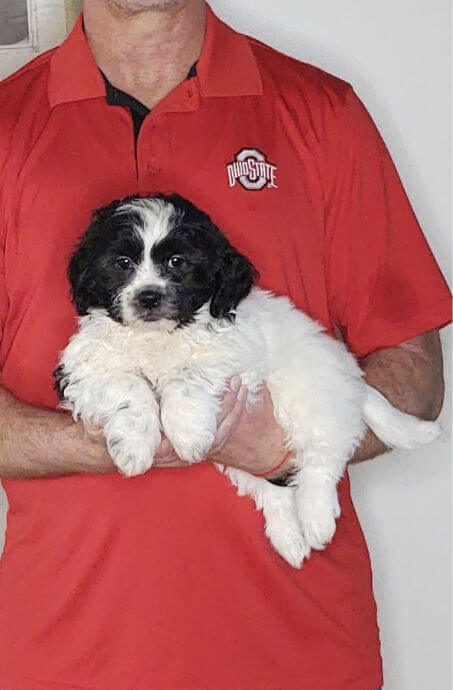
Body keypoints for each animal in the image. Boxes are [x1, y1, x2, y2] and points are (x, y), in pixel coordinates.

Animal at [54, 192, 440, 564]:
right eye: (122, 264)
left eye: (177, 262)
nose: (149, 297)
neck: (158, 336)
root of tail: (348, 371)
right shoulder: (81, 371)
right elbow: (129, 384)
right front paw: (135, 447)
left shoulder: (231, 355)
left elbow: (184, 377)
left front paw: (186, 434)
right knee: (270, 487)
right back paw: (289, 538)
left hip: (308, 396)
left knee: (323, 456)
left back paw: (316, 517)